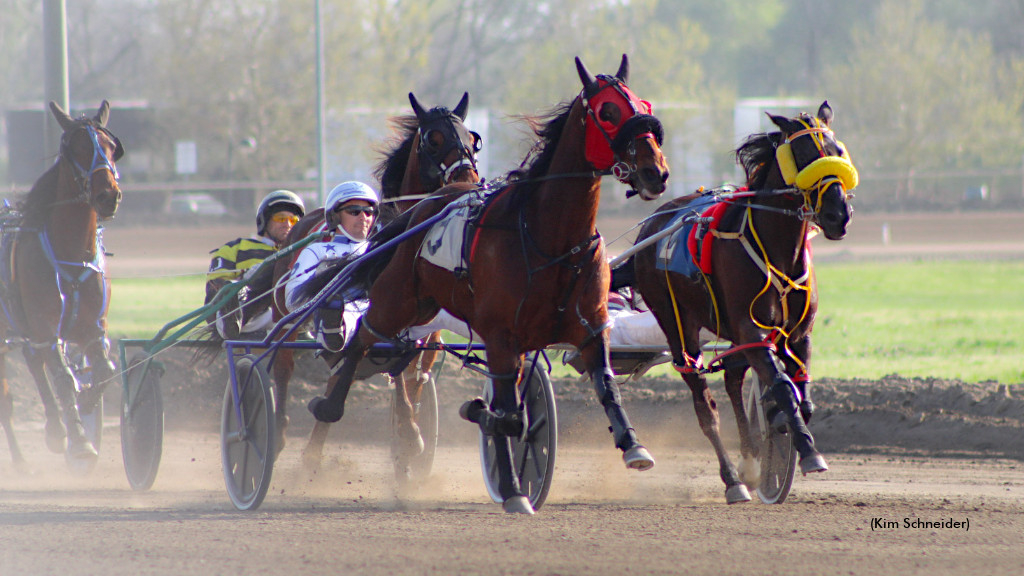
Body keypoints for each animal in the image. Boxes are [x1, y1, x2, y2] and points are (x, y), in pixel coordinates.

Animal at [0, 100, 123, 463]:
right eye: (77, 148)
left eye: (110, 147)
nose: (108, 195)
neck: (71, 251)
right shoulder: (46, 327)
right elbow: (63, 377)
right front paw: (80, 441)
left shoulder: (92, 328)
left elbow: (106, 371)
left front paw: (85, 404)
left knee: (33, 361)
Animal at [270, 91, 481, 467]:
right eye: (433, 139)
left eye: (471, 138)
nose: (468, 177)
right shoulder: (382, 316)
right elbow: (390, 369)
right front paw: (409, 434)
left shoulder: (423, 333)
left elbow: (412, 375)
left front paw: (409, 434)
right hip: (286, 313)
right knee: (283, 364)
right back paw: (280, 431)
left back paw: (313, 451)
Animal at [303, 53, 671, 510]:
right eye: (608, 111)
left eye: (644, 104)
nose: (655, 172)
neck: (549, 239)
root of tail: (426, 206)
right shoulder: (499, 335)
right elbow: (508, 417)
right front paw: (512, 487)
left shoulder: (589, 327)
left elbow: (604, 386)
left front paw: (633, 445)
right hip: (400, 301)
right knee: (363, 340)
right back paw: (327, 413)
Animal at [622, 103, 856, 502]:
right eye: (804, 155)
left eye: (837, 151)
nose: (837, 215)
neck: (777, 251)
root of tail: (652, 225)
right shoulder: (753, 331)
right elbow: (782, 387)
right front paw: (808, 451)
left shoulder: (798, 336)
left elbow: (801, 395)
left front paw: (779, 422)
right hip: (676, 324)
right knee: (704, 403)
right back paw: (733, 479)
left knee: (732, 377)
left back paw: (749, 461)